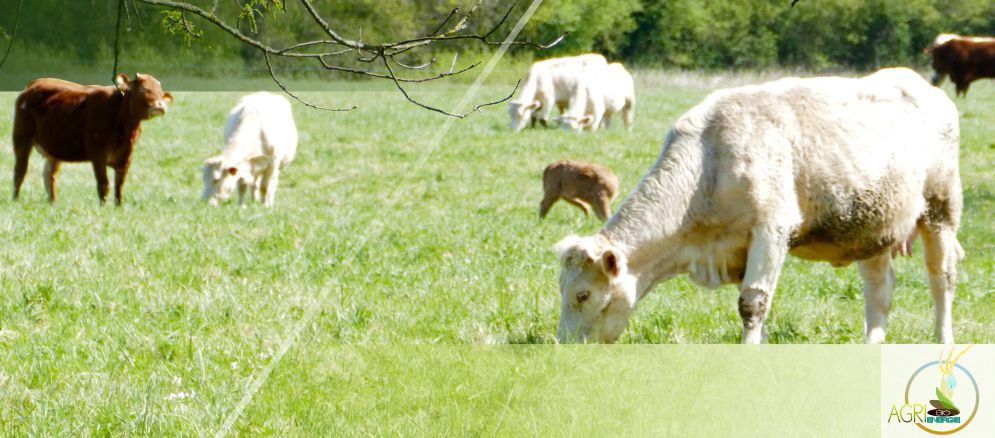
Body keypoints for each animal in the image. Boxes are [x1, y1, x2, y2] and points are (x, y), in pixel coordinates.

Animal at [11, 73, 173, 205]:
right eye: (144, 89)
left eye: (160, 92)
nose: (160, 105)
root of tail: (33, 84)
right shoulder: (98, 153)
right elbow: (104, 184)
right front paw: (103, 207)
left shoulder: (126, 155)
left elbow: (119, 185)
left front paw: (118, 207)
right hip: (22, 138)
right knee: (20, 172)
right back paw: (15, 200)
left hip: (54, 146)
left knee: (49, 175)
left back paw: (53, 202)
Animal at [552, 66, 964, 344]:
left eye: (583, 294)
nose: (565, 346)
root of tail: (920, 84)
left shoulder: (771, 230)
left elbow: (752, 303)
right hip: (873, 226)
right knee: (879, 290)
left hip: (941, 210)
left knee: (941, 279)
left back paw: (942, 340)